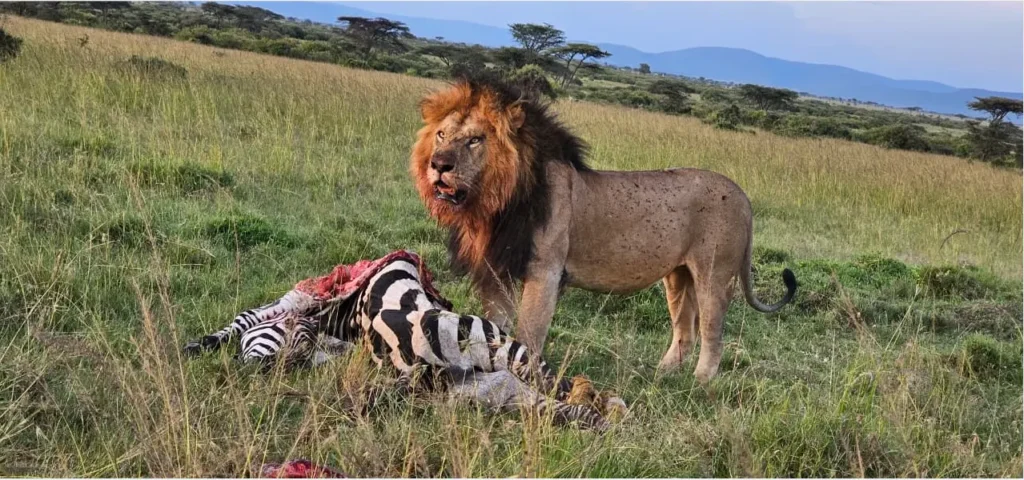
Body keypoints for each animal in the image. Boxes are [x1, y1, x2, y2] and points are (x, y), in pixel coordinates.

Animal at [184, 252, 622, 430]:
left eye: (293, 338)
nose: (258, 370)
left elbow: (248, 317)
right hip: (493, 386)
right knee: (561, 403)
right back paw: (604, 413)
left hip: (484, 352)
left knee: (554, 388)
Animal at [409, 76, 797, 384]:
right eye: (442, 134)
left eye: (475, 140)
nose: (439, 164)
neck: (496, 202)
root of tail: (743, 196)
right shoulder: (496, 270)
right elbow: (494, 327)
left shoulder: (546, 271)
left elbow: (529, 333)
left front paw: (525, 378)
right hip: (678, 276)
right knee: (685, 331)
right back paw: (661, 375)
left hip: (713, 274)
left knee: (714, 333)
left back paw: (699, 384)